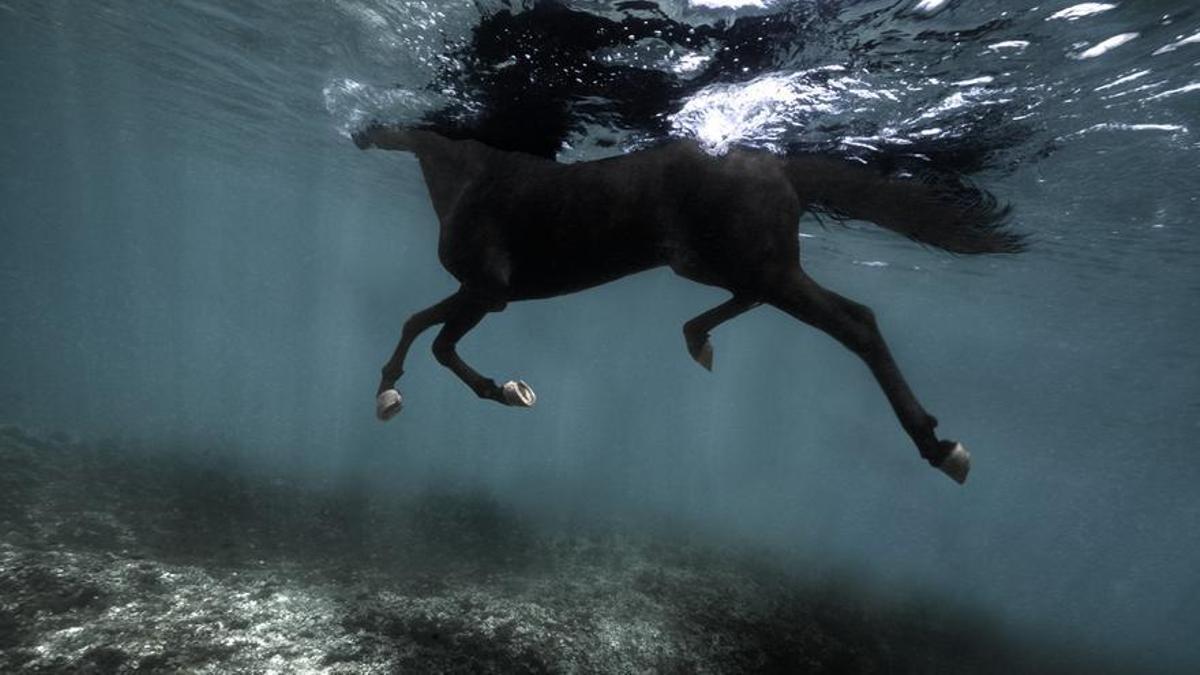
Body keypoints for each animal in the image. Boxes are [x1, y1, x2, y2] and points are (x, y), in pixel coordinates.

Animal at [350, 123, 1027, 480]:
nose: (359, 133)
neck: (472, 180)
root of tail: (783, 168)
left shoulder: (488, 291)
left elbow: (431, 337)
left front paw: (403, 392)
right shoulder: (489, 297)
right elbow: (426, 332)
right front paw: (494, 391)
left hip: (760, 267)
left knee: (856, 322)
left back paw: (940, 447)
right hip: (717, 265)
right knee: (753, 301)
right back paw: (698, 339)